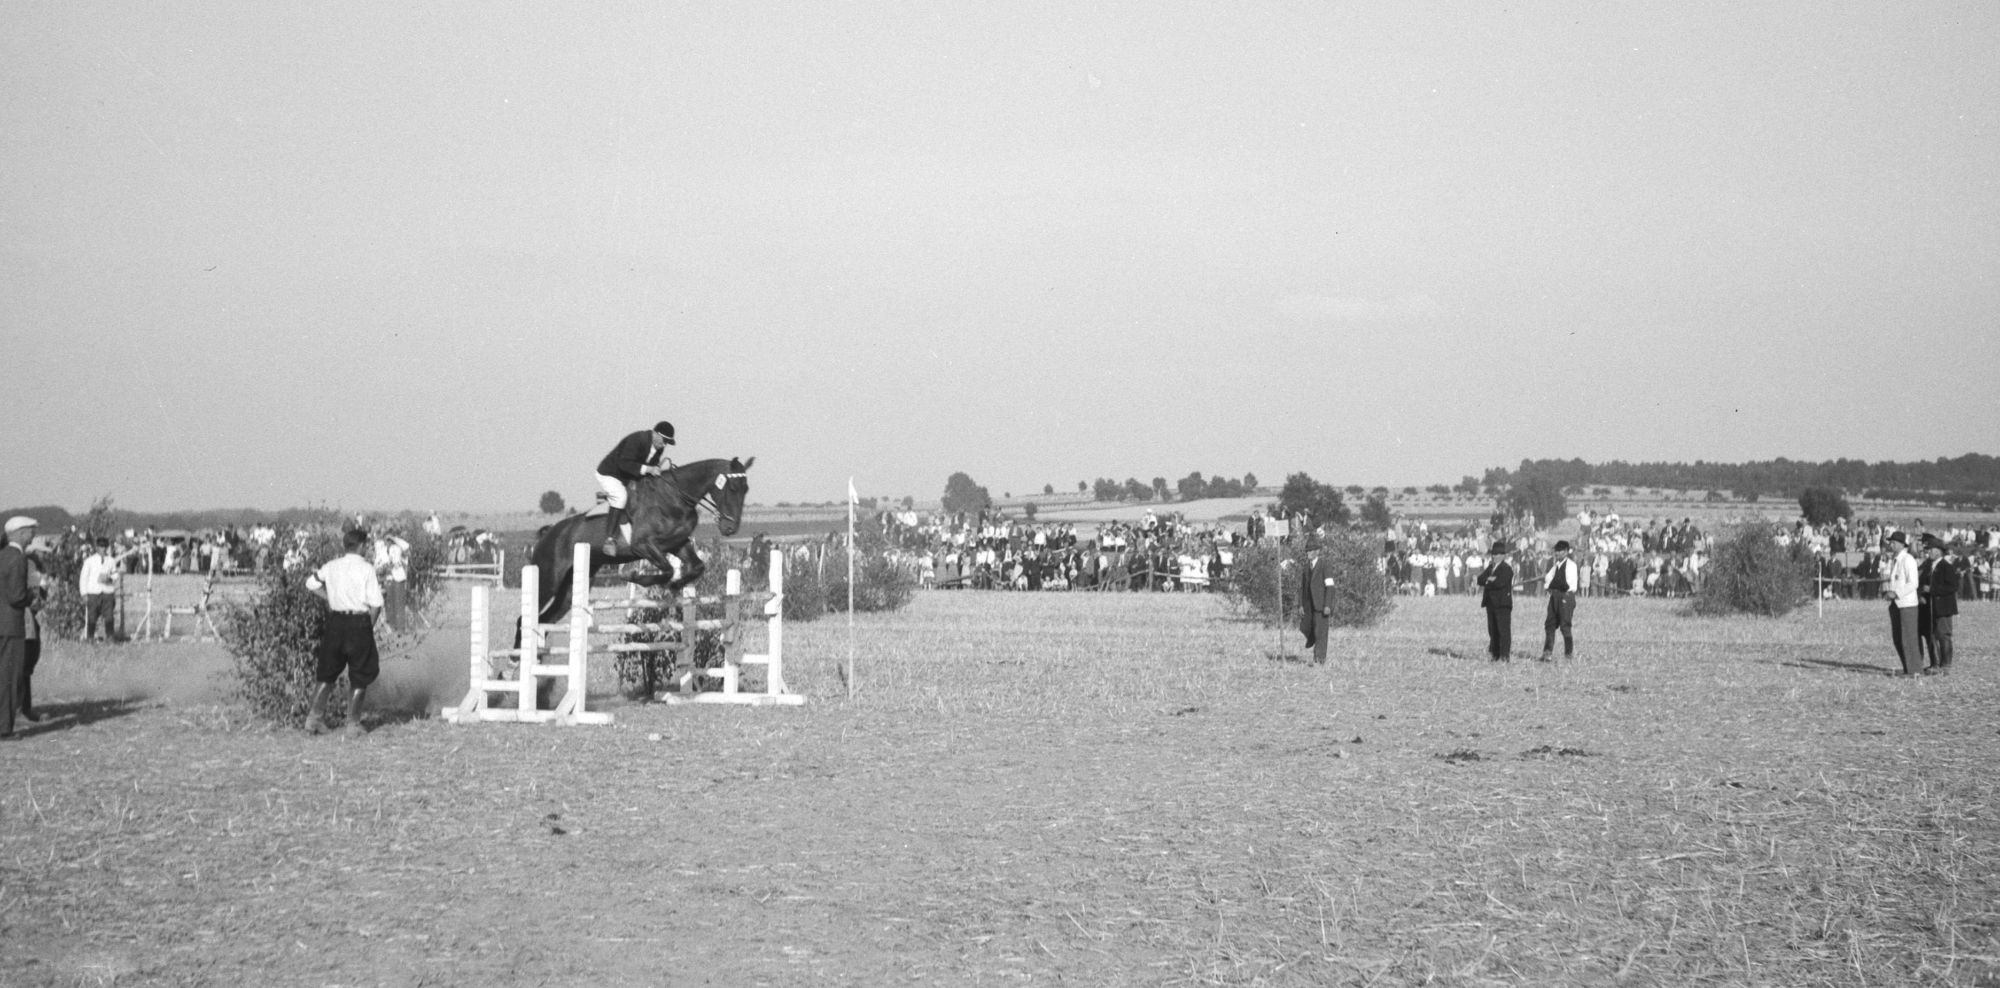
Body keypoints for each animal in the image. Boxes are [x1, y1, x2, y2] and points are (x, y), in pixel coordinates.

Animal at [516, 456, 755, 708]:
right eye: (732, 488)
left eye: (745, 489)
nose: (730, 528)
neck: (675, 496)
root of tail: (547, 533)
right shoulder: (644, 545)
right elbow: (667, 569)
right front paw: (636, 577)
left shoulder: (677, 544)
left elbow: (696, 566)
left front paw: (676, 586)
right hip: (548, 578)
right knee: (525, 619)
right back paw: (512, 669)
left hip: (569, 591)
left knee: (545, 621)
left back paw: (535, 666)